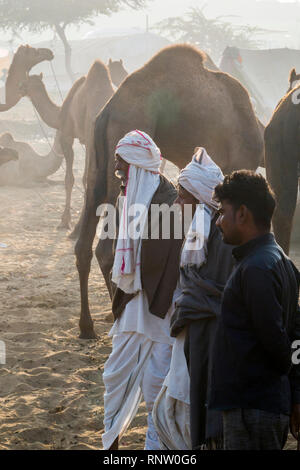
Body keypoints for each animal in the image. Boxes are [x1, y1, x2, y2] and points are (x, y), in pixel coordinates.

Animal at [20, 59, 116, 230]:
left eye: (27, 81)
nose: (19, 87)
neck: (59, 114)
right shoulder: (85, 141)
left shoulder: (68, 136)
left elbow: (70, 179)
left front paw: (65, 220)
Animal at [73, 44, 264, 338]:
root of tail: (109, 109)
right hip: (122, 155)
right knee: (106, 250)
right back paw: (115, 316)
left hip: (96, 167)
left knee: (83, 243)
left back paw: (87, 326)